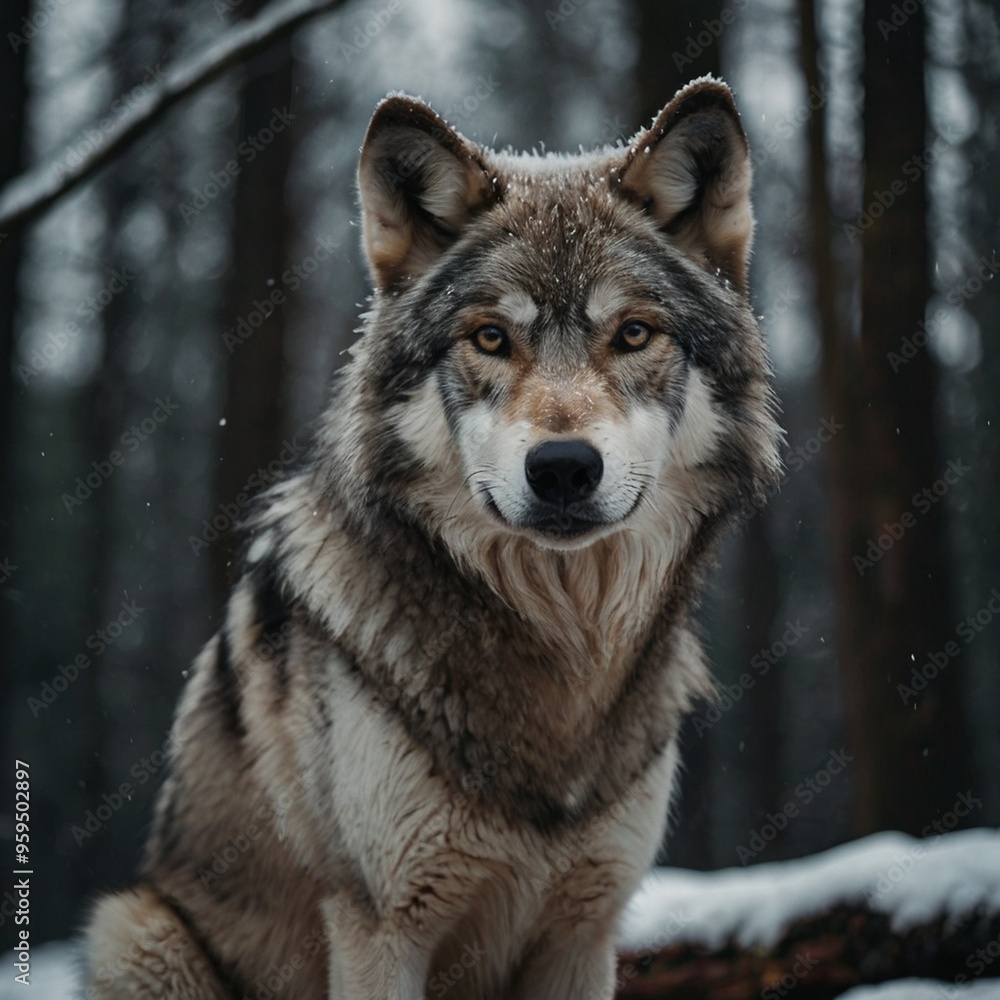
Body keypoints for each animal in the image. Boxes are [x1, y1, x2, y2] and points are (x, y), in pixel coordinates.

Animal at [84, 76, 781, 999]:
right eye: (491, 337)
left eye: (633, 333)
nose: (563, 468)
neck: (562, 657)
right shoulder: (380, 929)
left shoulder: (584, 935)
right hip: (135, 929)